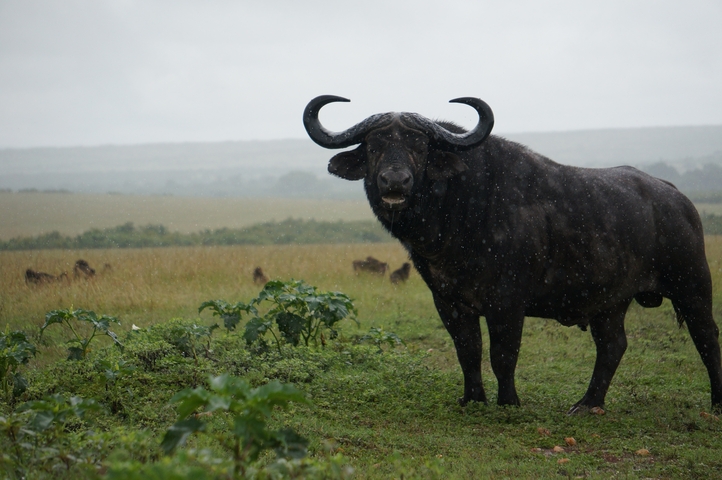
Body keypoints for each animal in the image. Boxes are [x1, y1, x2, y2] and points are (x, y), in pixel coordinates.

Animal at [304, 95, 722, 413]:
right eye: (374, 146)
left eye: (418, 146)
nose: (394, 182)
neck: (460, 210)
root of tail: (677, 198)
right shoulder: (448, 301)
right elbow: (468, 351)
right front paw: (473, 399)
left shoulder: (507, 301)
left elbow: (503, 353)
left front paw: (509, 403)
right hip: (609, 302)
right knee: (613, 346)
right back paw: (587, 404)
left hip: (693, 286)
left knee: (706, 337)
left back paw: (716, 403)